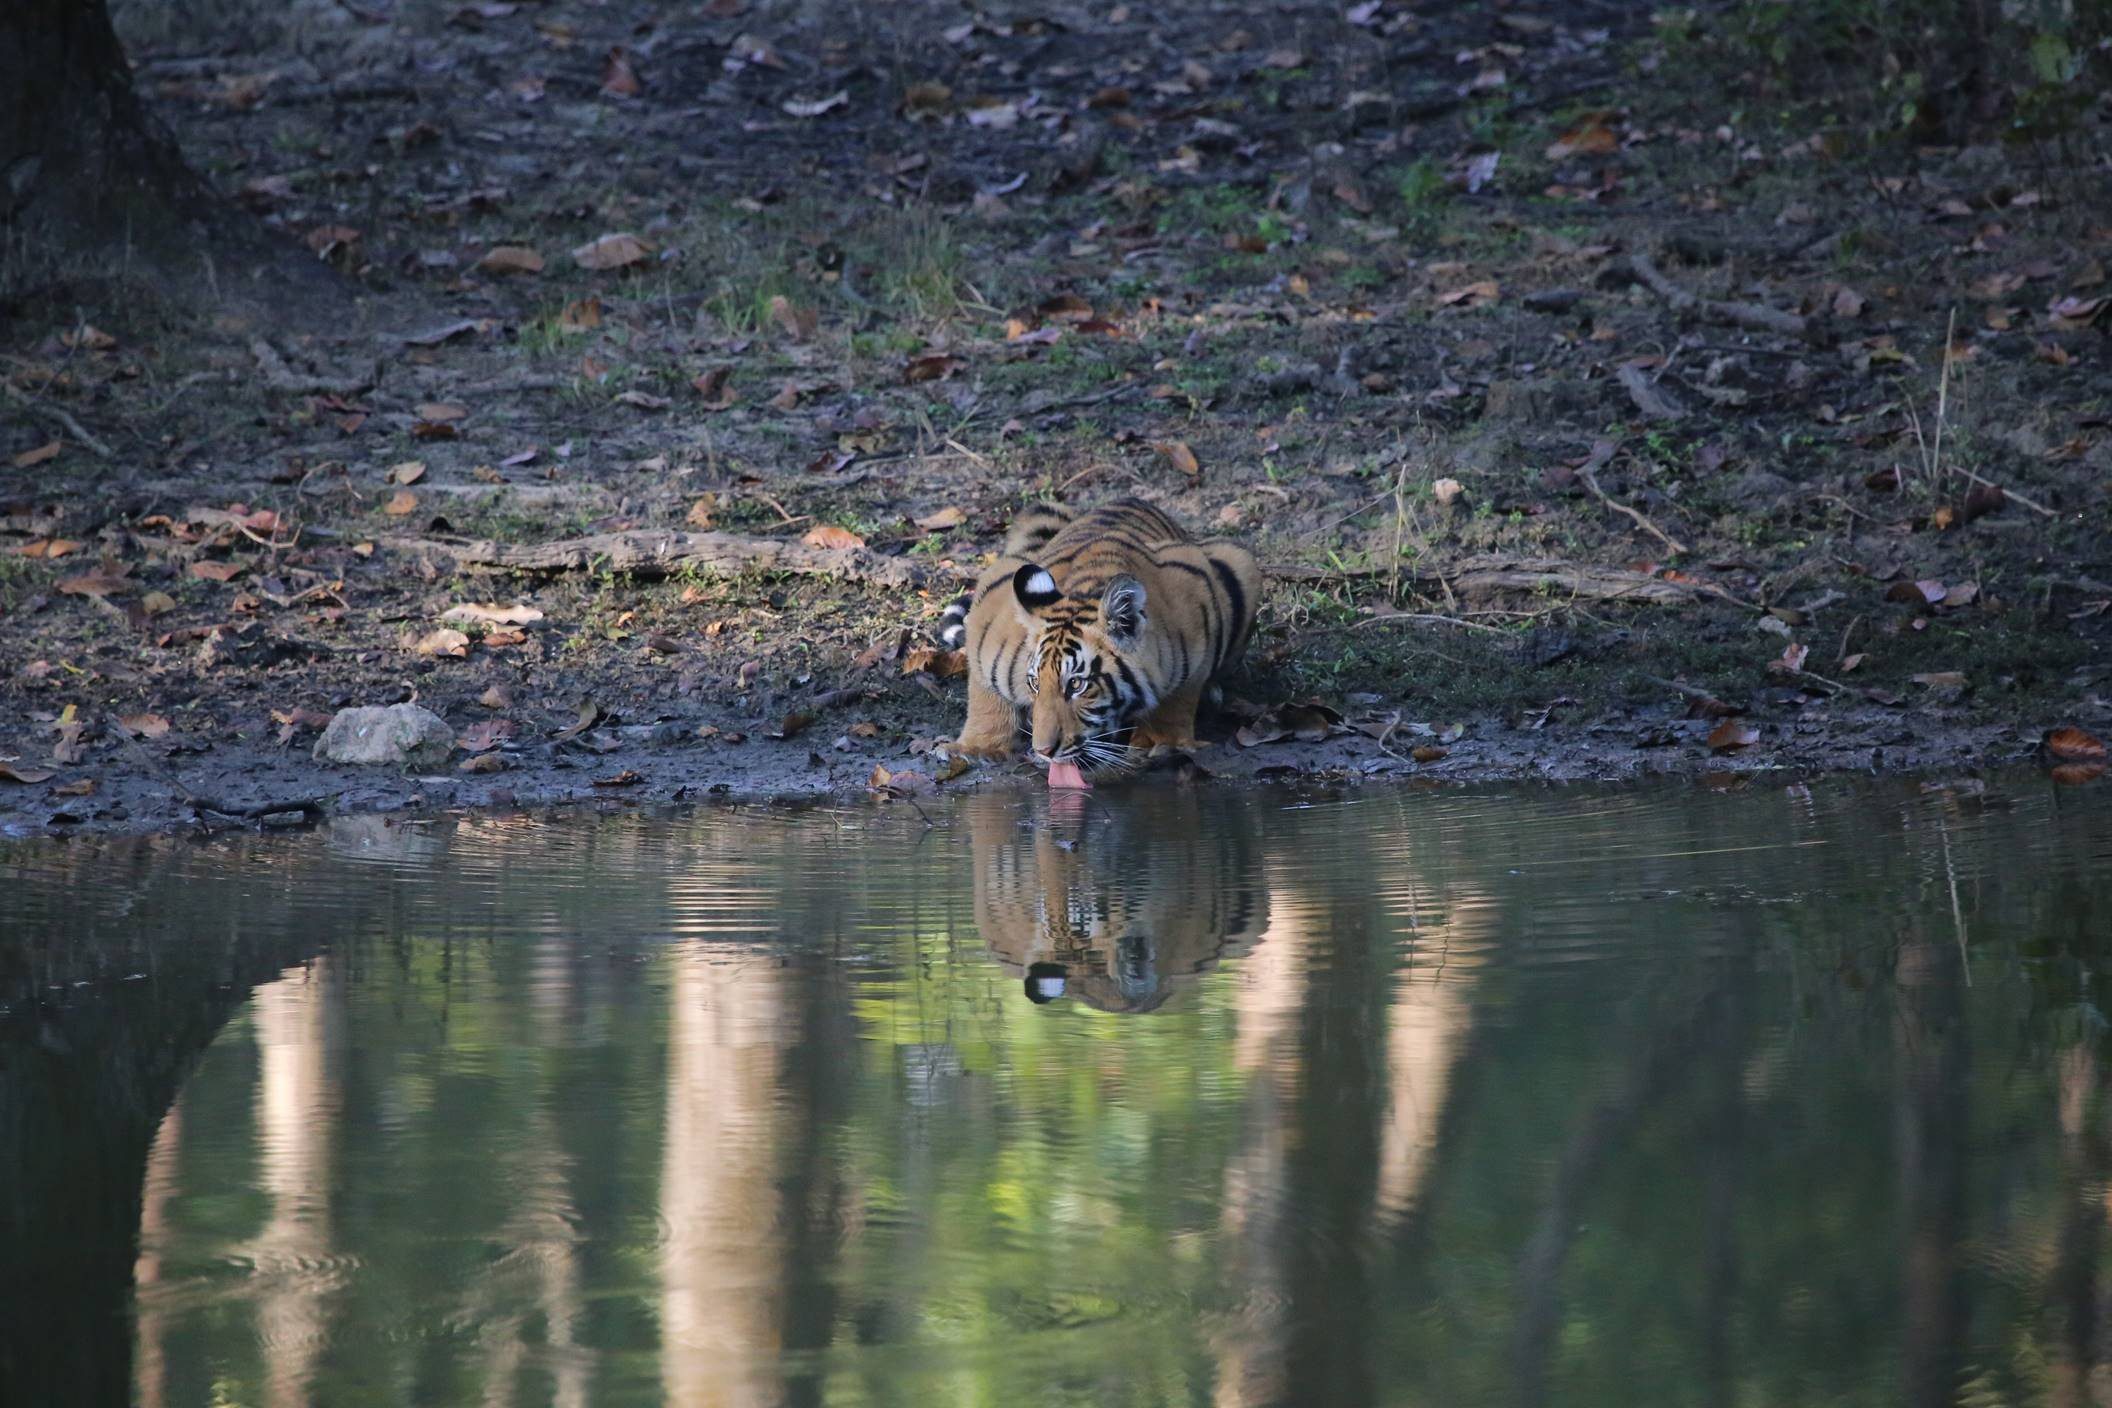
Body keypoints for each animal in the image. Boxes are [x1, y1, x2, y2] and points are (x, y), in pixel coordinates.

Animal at [937, 498, 1250, 781]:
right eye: (1035, 683)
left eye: (1077, 684)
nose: (1044, 751)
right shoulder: (990, 611)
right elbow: (985, 694)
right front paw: (976, 748)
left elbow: (1179, 697)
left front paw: (1164, 742)